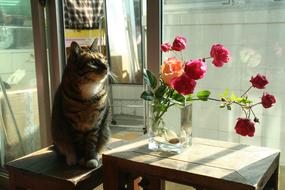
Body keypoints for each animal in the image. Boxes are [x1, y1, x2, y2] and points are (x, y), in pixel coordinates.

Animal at [51, 40, 110, 168]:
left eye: (105, 60)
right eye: (93, 62)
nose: (107, 67)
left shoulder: (96, 123)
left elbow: (91, 143)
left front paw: (91, 158)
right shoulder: (73, 124)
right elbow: (78, 144)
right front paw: (82, 158)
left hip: (106, 131)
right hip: (58, 133)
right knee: (64, 150)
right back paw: (71, 158)